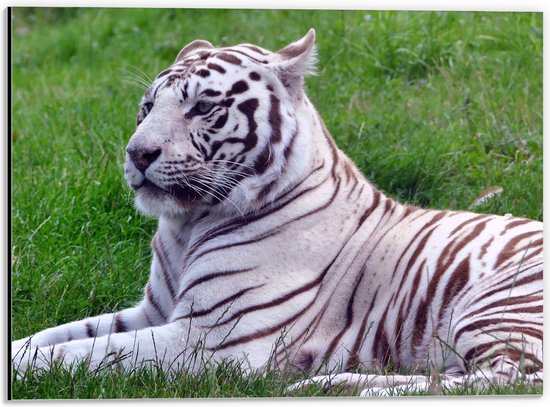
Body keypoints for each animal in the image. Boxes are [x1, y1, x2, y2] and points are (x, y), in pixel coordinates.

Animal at [11, 30, 544, 396]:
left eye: (202, 107)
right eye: (146, 108)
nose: (136, 154)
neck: (186, 226)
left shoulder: (207, 339)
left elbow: (80, 353)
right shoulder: (153, 312)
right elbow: (54, 336)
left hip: (496, 305)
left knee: (507, 379)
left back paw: (334, 386)